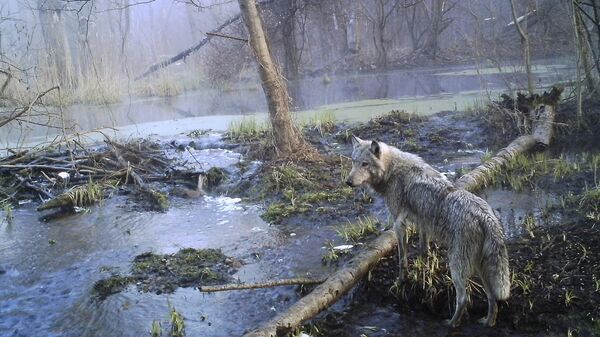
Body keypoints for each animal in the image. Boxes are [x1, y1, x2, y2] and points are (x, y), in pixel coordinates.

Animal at [344, 135, 508, 326]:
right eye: (353, 162)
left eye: (365, 164)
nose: (348, 182)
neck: (392, 170)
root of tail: (485, 216)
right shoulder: (422, 222)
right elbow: (424, 250)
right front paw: (423, 271)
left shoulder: (399, 225)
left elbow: (402, 260)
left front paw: (401, 282)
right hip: (480, 268)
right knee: (492, 298)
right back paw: (487, 322)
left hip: (457, 266)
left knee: (464, 298)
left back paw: (451, 323)